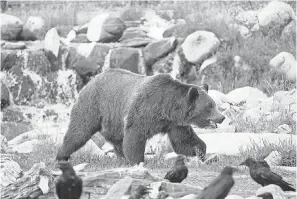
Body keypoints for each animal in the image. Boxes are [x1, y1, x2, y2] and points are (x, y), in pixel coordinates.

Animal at [56, 68, 224, 165]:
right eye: (209, 106)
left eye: (214, 104)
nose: (222, 117)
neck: (167, 108)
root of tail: (91, 81)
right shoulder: (144, 109)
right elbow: (135, 134)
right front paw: (138, 161)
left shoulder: (175, 123)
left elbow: (183, 141)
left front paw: (201, 152)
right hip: (94, 105)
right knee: (79, 131)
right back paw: (61, 155)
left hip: (113, 118)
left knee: (117, 139)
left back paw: (121, 156)